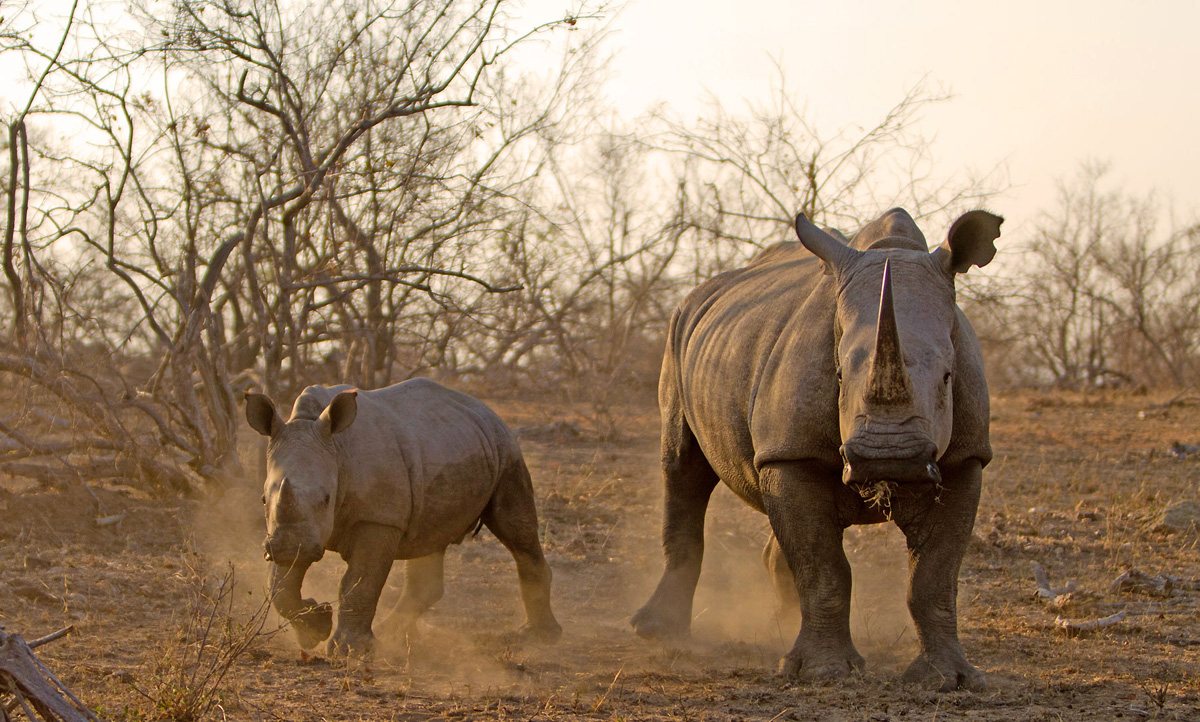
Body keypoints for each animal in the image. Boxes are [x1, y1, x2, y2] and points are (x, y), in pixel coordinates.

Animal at [246, 378, 564, 657]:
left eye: (326, 499)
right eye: (262, 499)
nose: (286, 547)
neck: (336, 449)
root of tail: (487, 410)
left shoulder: (379, 518)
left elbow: (360, 582)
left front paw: (350, 652)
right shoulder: (295, 529)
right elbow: (279, 587)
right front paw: (316, 627)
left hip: (506, 449)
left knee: (515, 530)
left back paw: (539, 637)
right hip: (448, 445)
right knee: (430, 540)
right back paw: (391, 635)